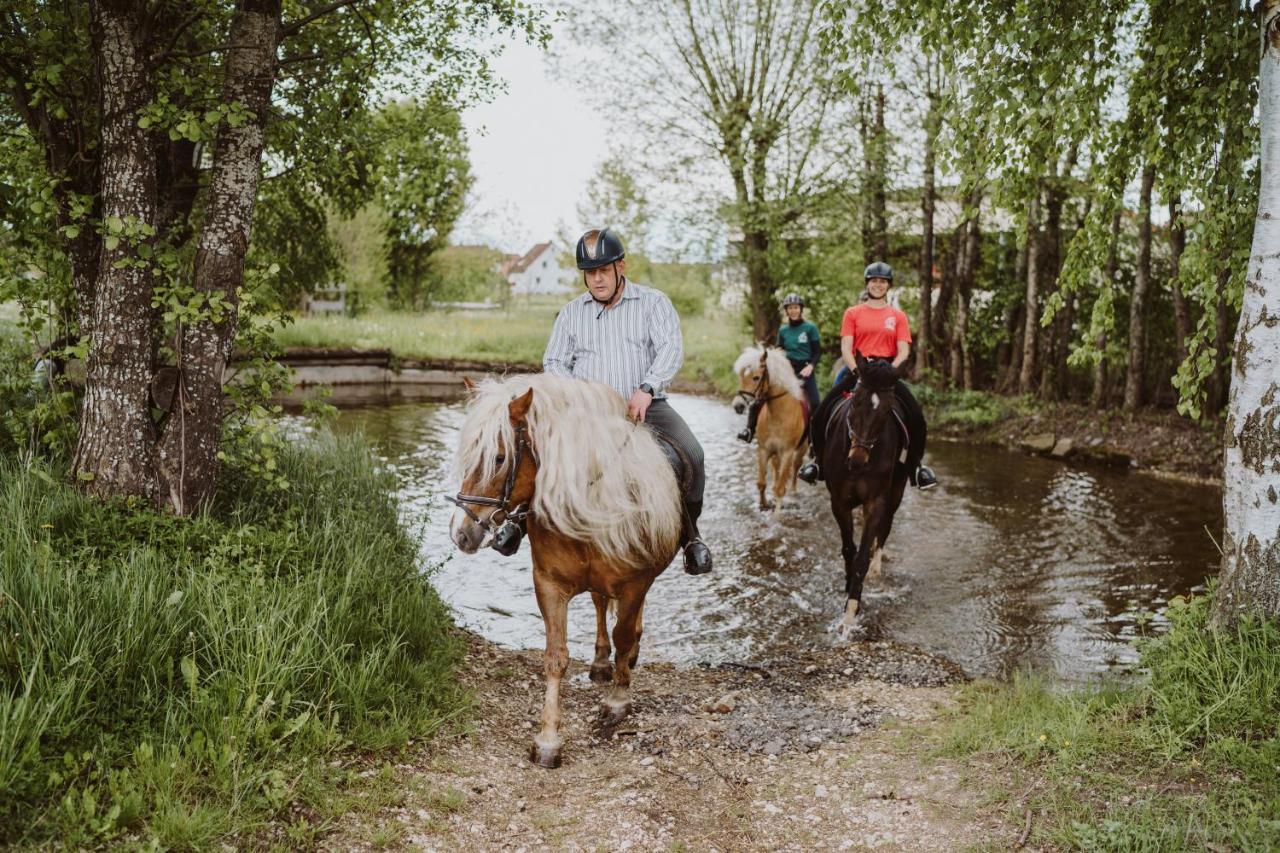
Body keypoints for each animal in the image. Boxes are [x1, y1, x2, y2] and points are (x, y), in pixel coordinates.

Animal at [448, 371, 686, 763]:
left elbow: (624, 634)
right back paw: (602, 662)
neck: (587, 505)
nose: (461, 533)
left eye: (499, 458)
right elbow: (556, 656)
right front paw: (548, 739)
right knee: (600, 604)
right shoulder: (549, 584)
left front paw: (618, 701)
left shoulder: (635, 582)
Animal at [737, 343, 803, 512]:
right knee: (776, 469)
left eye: (756, 377)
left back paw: (793, 491)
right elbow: (761, 482)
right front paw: (764, 504)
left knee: (795, 468)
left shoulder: (787, 453)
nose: (738, 406)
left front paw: (776, 514)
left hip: (801, 450)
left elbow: (780, 488)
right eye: (741, 377)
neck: (778, 414)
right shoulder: (764, 449)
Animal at [819, 350, 911, 637]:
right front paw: (848, 587)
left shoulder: (876, 502)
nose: (857, 461)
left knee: (884, 531)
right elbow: (849, 549)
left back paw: (877, 566)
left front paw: (851, 612)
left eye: (886, 411)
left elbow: (861, 556)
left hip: (896, 492)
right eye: (855, 403)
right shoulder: (839, 501)